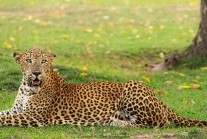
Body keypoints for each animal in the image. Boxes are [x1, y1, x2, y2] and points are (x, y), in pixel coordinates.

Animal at [0, 47, 207, 127]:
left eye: (43, 61)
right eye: (28, 61)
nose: (36, 73)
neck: (27, 88)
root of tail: (159, 100)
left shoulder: (35, 117)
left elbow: (4, 119)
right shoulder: (16, 110)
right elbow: (3, 113)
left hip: (133, 85)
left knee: (156, 123)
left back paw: (118, 123)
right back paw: (116, 121)